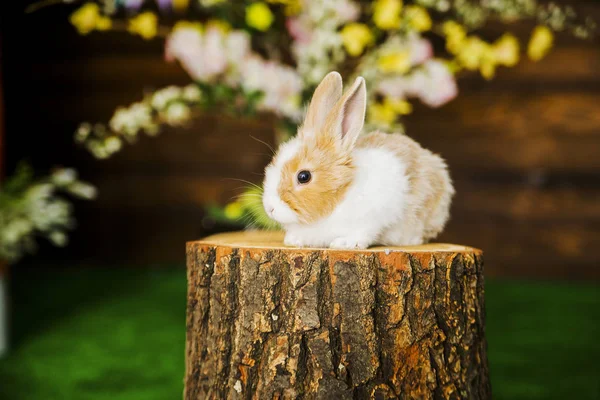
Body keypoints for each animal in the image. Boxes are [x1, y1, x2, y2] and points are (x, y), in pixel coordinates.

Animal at [260, 70, 452, 248]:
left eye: (303, 176)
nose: (270, 208)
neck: (341, 195)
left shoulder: (373, 217)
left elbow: (362, 234)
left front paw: (344, 244)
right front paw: (293, 240)